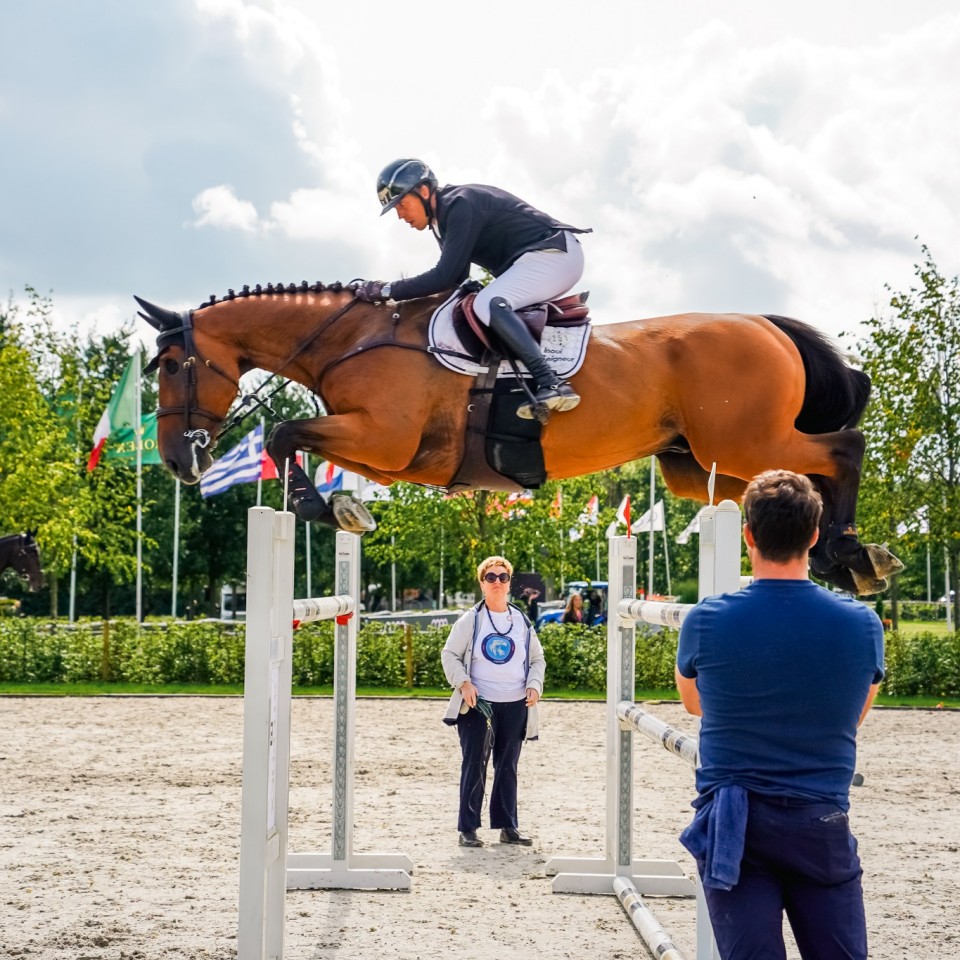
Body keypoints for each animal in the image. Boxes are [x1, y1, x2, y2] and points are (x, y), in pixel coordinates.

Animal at [139, 282, 904, 596]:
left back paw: (846, 552)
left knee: (843, 449)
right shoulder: (389, 455)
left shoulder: (386, 439)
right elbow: (299, 437)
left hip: (742, 442)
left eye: (172, 365)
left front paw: (320, 506)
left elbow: (284, 429)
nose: (178, 462)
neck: (355, 338)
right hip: (699, 464)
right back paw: (848, 557)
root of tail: (768, 324)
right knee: (796, 484)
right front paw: (340, 507)